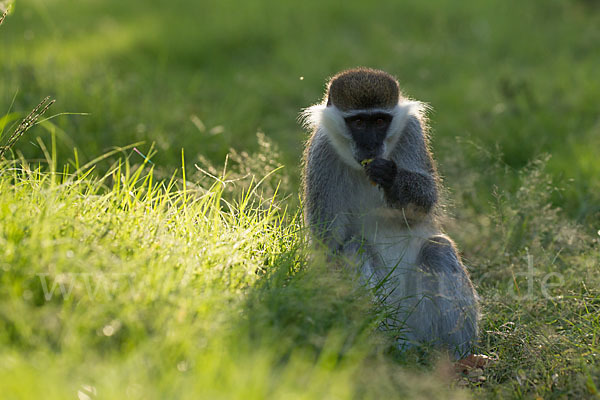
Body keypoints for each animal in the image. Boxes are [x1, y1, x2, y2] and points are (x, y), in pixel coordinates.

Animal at [302, 67, 480, 358]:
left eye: (379, 121)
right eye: (358, 122)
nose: (371, 146)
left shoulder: (412, 131)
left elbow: (426, 201)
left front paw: (390, 176)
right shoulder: (322, 152)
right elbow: (327, 244)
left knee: (438, 248)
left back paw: (456, 356)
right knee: (354, 247)